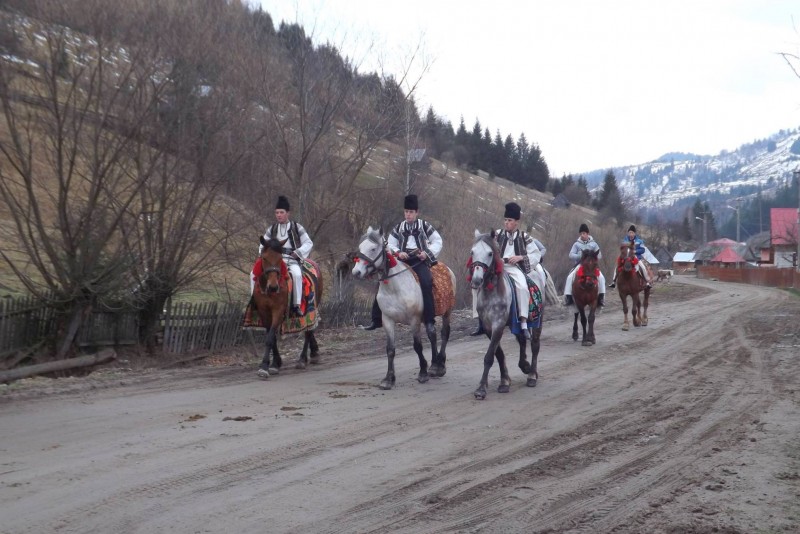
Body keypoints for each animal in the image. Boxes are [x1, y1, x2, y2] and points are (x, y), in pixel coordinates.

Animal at [253, 236, 322, 379]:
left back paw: (302, 359)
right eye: (264, 258)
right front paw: (275, 363)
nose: (273, 287)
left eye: (280, 258)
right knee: (309, 330)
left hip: (312, 307)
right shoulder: (264, 311)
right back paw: (313, 353)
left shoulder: (278, 311)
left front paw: (265, 366)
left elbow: (270, 338)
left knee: (308, 331)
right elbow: (272, 337)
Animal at [351, 226, 456, 390]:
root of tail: (446, 268)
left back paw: (439, 366)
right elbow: (390, 349)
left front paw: (422, 373)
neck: (395, 289)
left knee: (444, 333)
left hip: (447, 312)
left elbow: (417, 346)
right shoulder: (387, 320)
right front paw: (388, 379)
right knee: (432, 334)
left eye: (373, 249)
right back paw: (434, 366)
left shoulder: (414, 320)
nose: (356, 272)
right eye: (361, 247)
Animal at [468, 230, 543, 400]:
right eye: (473, 252)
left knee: (535, 345)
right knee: (522, 340)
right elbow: (499, 354)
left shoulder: (499, 324)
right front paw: (504, 381)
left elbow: (489, 356)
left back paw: (532, 376)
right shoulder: (489, 327)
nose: (476, 280)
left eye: (490, 253)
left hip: (537, 322)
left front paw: (481, 389)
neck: (491, 292)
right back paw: (525, 366)